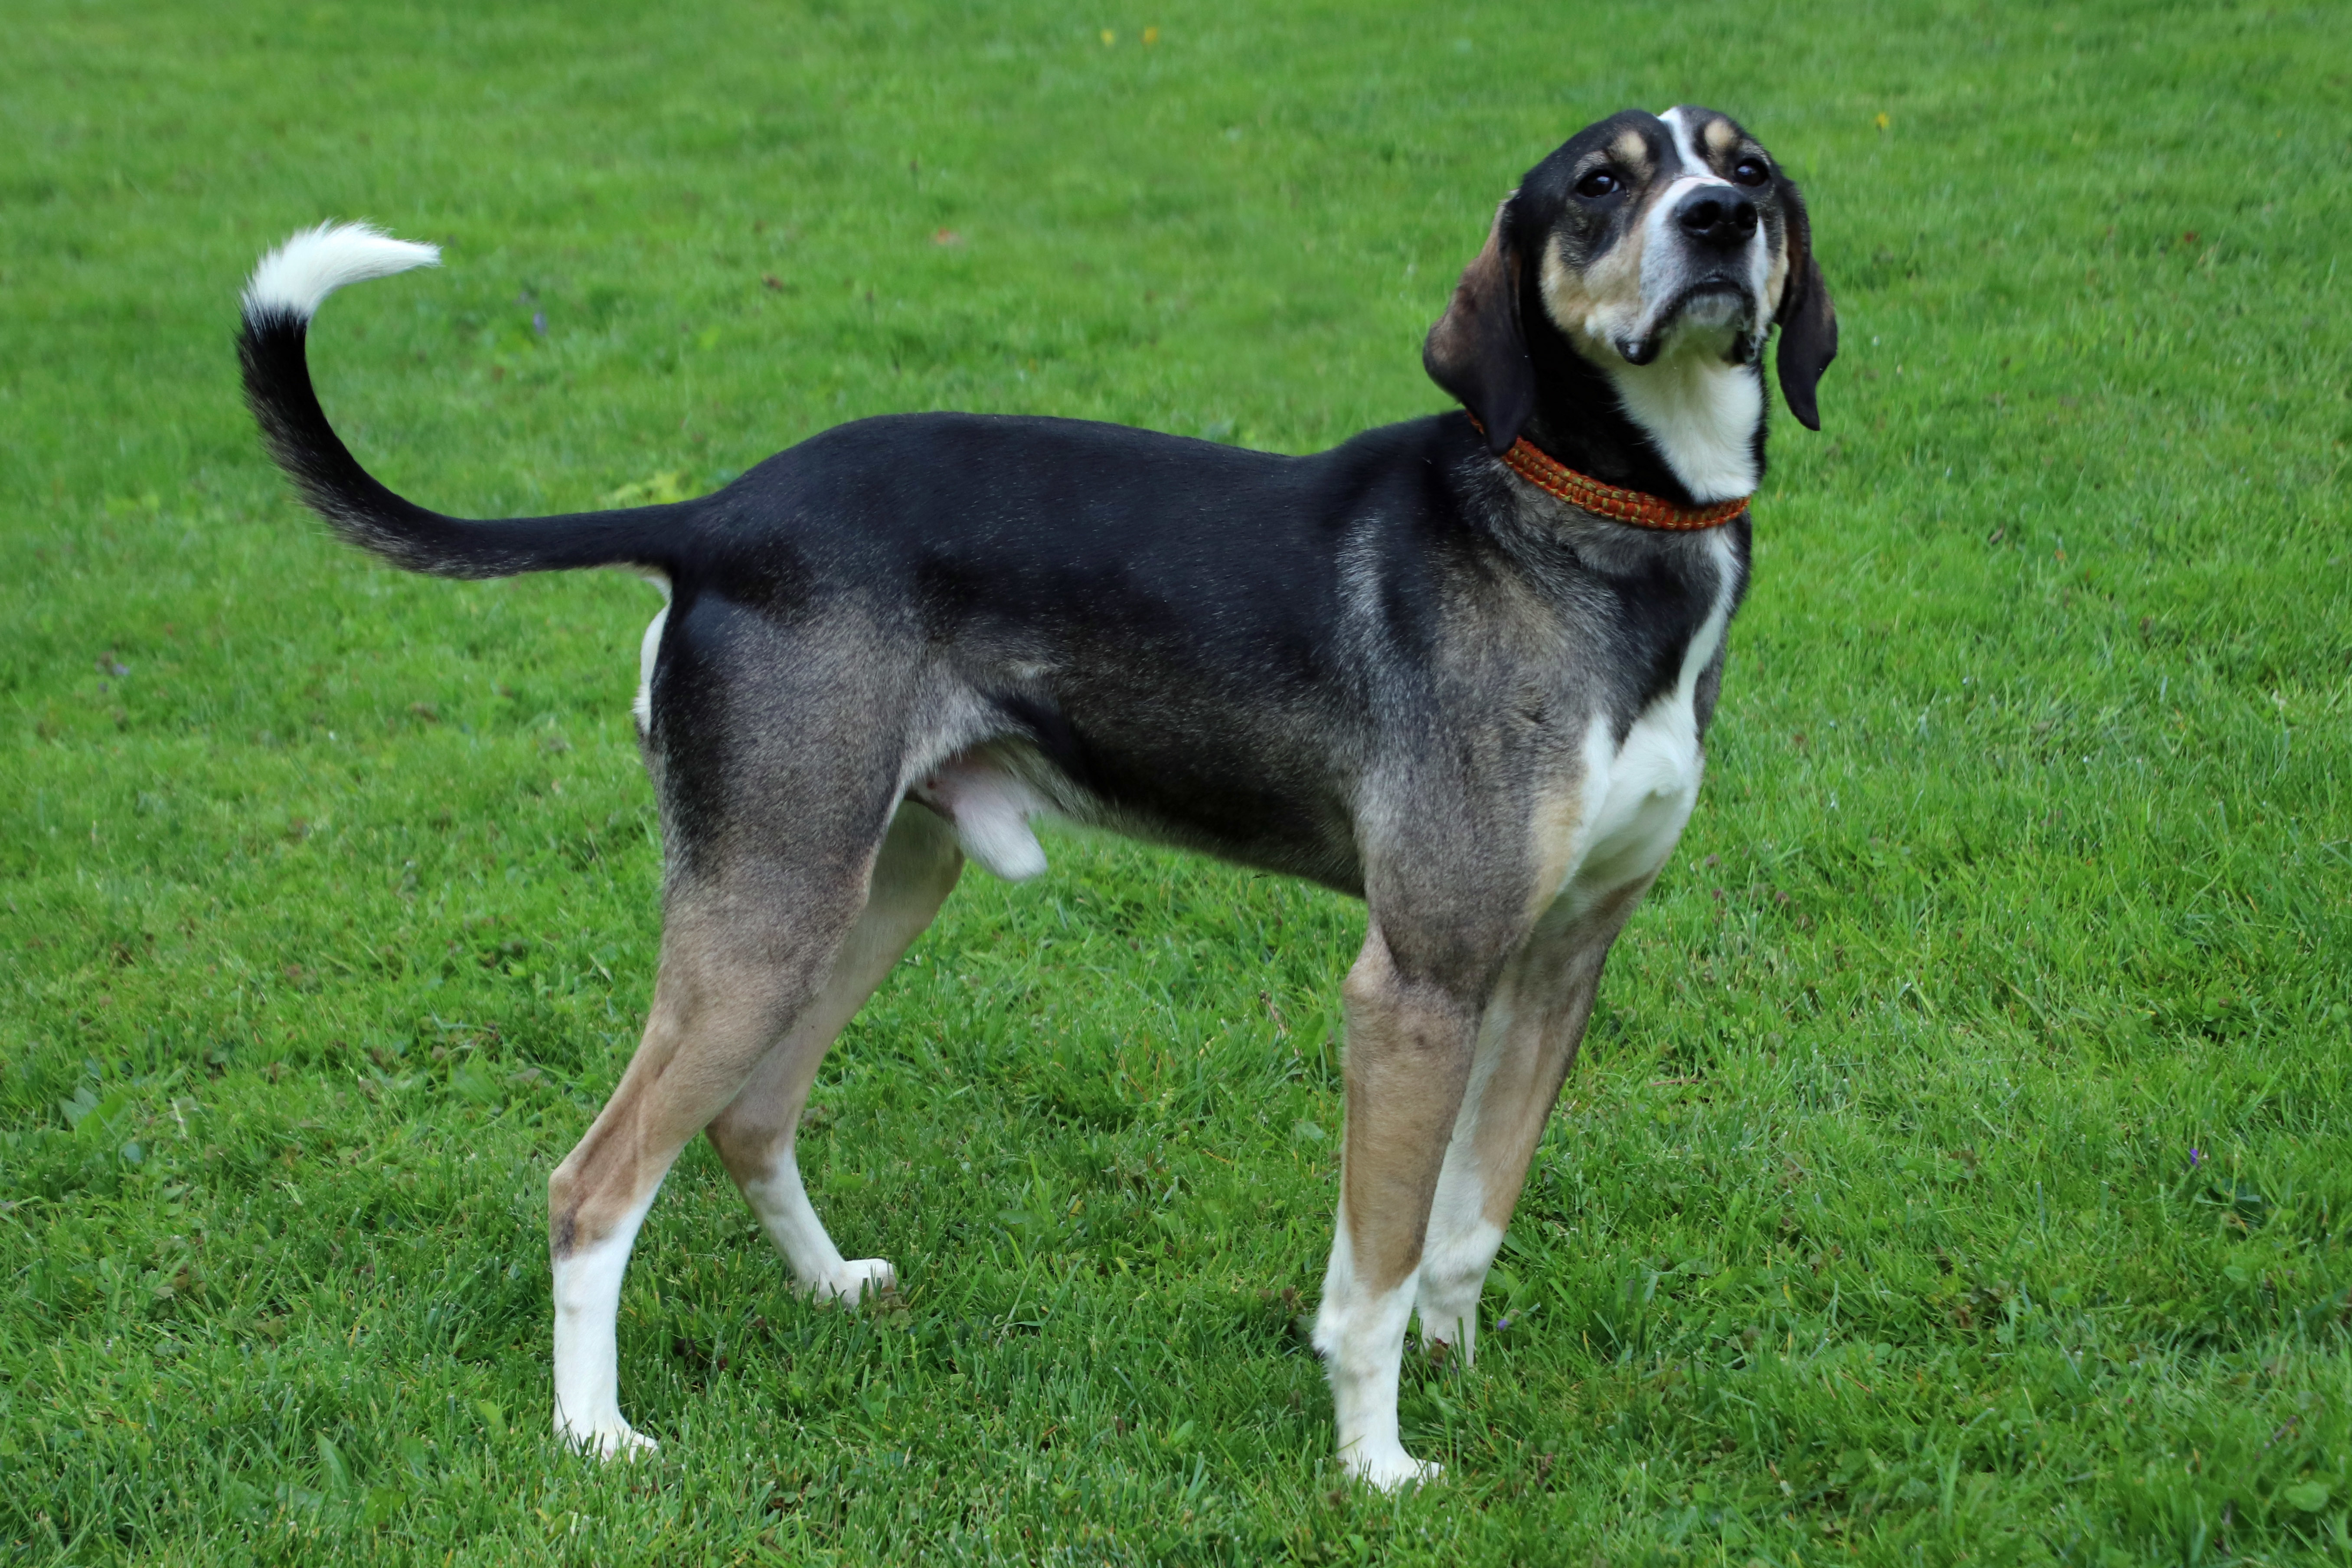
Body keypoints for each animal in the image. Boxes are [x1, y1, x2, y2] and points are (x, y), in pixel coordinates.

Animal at [234, 108, 1834, 1486]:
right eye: (1600, 186)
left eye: (1747, 166)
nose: (1720, 219)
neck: (1594, 522)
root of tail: (718, 515)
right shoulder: (1417, 983)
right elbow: (1375, 1268)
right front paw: (1376, 1462)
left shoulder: (1559, 965)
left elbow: (1463, 1228)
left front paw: (1458, 1381)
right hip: (769, 906)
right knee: (593, 1183)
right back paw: (593, 1435)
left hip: (873, 885)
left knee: (749, 1117)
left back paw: (827, 1285)